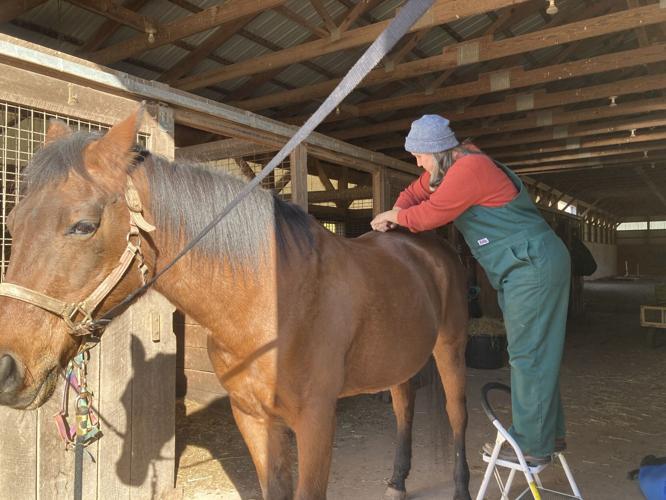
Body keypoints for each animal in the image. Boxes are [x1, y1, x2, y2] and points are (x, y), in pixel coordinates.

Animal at [0, 108, 470, 500]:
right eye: (12, 223)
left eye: (84, 225)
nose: (6, 367)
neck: (272, 304)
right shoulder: (252, 417)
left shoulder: (317, 421)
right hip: (399, 362)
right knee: (404, 409)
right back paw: (397, 481)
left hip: (449, 350)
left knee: (456, 414)